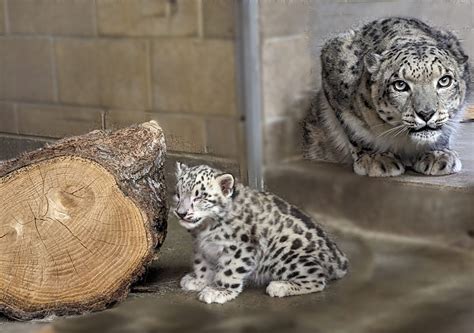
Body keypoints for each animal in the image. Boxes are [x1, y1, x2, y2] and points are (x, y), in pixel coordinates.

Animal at [174, 163, 348, 304]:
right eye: (178, 194)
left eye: (200, 196)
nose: (181, 213)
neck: (204, 228)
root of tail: (338, 259)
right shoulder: (201, 246)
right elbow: (202, 264)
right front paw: (198, 280)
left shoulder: (239, 248)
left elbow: (229, 271)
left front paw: (219, 291)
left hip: (287, 256)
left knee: (317, 278)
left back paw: (279, 286)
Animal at [304, 16, 470, 176]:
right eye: (400, 85)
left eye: (444, 81)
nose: (426, 114)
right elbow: (354, 130)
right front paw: (375, 158)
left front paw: (438, 155)